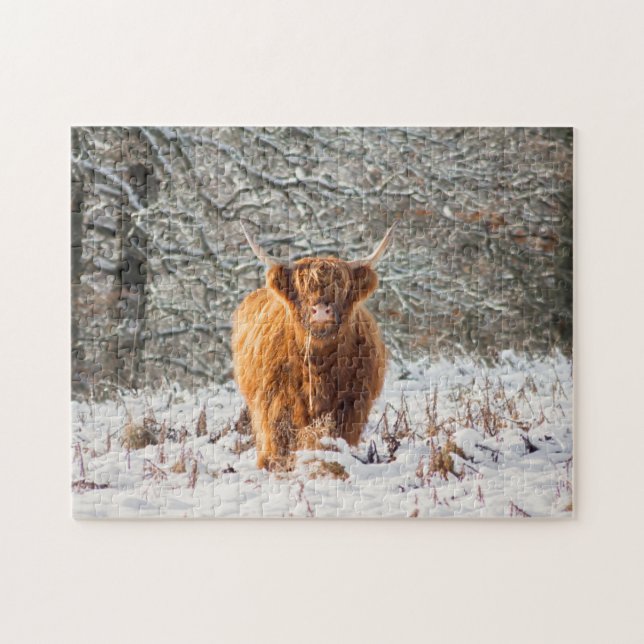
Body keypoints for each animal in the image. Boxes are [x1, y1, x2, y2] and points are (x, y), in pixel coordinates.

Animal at [232, 220, 397, 470]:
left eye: (341, 287)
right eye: (303, 287)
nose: (320, 310)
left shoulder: (351, 405)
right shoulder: (275, 403)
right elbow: (279, 440)